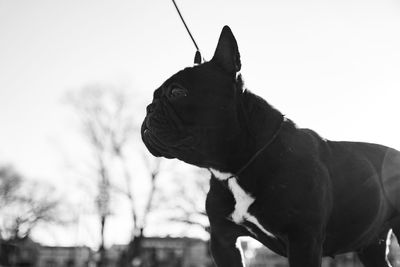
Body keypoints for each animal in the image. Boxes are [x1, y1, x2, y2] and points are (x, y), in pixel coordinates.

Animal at [142, 25, 400, 267]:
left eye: (177, 92)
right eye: (154, 96)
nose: (148, 108)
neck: (235, 167)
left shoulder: (303, 240)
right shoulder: (223, 240)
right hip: (371, 244)